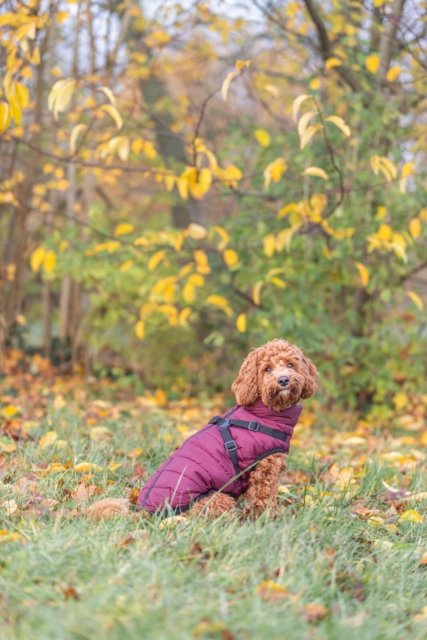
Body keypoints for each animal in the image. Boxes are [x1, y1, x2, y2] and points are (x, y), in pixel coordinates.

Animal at [90, 340, 318, 520]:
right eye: (267, 369)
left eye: (290, 364)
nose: (283, 380)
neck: (262, 413)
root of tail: (144, 513)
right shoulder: (265, 470)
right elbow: (264, 501)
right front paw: (266, 523)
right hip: (216, 500)